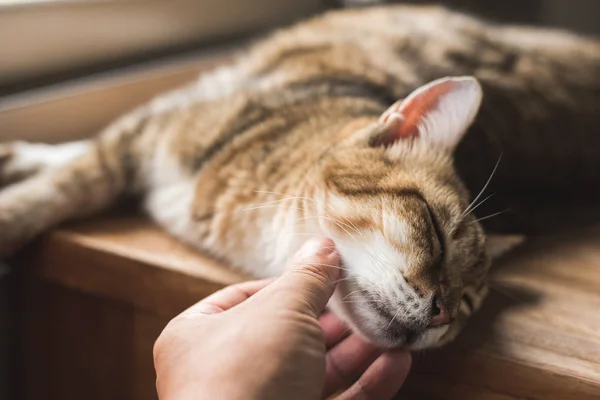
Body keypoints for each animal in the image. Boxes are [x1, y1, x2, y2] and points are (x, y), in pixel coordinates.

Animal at [1, 5, 600, 350]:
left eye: (469, 306)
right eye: (432, 229)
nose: (441, 315)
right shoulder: (149, 133)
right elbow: (68, 182)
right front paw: (19, 204)